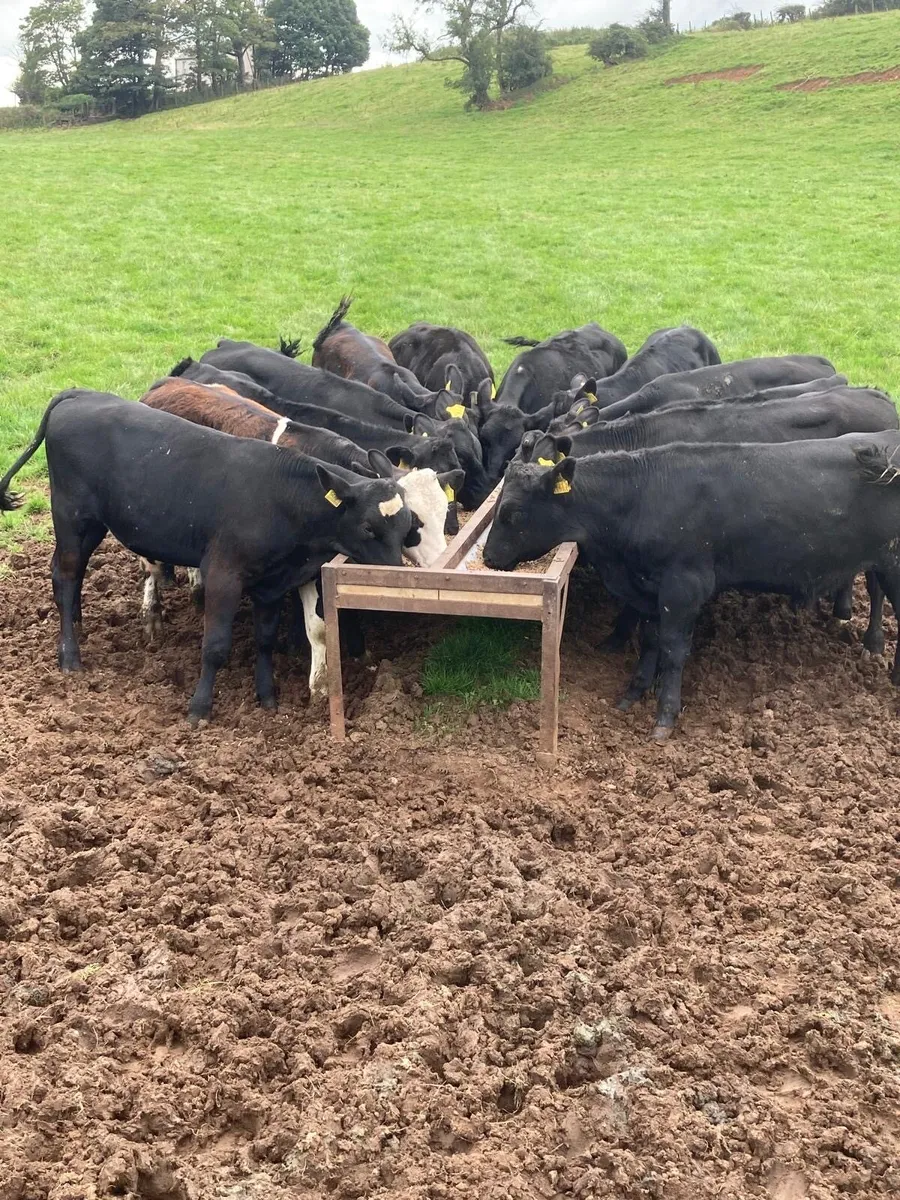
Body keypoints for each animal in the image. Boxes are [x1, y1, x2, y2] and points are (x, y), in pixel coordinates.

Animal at [0, 390, 416, 723]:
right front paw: (200, 708)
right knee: (65, 577)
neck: (281, 497)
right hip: (71, 518)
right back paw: (70, 656)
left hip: (93, 524)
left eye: (408, 525)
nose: (397, 575)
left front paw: (267, 696)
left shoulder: (272, 584)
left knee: (73, 575)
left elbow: (265, 639)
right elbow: (215, 647)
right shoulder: (222, 574)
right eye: (368, 527)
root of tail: (79, 394)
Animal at [483, 431, 900, 738]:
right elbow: (650, 639)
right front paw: (633, 693)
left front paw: (665, 715)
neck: (640, 497)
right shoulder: (649, 589)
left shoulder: (683, 587)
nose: (488, 557)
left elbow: (673, 649)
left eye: (512, 513)